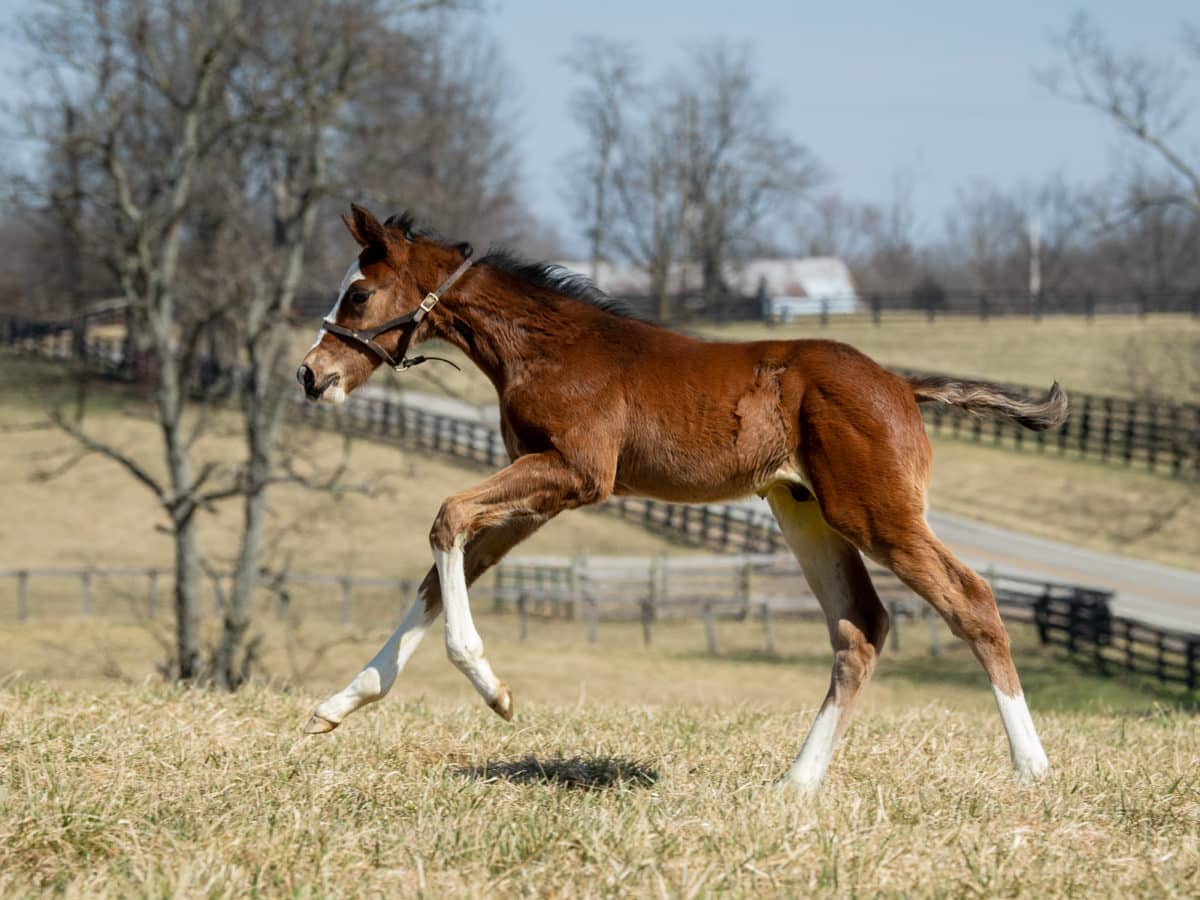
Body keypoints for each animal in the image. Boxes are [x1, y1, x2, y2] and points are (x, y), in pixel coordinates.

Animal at [295, 206, 1065, 796]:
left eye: (357, 296)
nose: (310, 374)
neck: (546, 347)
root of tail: (903, 386)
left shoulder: (576, 474)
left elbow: (446, 518)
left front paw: (495, 692)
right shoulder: (542, 492)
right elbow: (438, 572)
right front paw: (334, 707)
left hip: (876, 514)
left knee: (971, 599)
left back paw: (1032, 767)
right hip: (804, 511)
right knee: (860, 626)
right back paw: (796, 782)